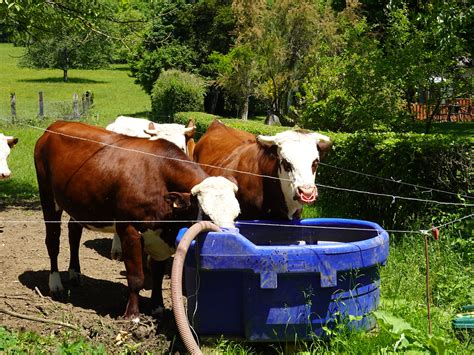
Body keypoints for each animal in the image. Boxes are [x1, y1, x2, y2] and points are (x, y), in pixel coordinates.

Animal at [34, 121, 241, 320]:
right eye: (206, 215)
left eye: (236, 214)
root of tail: (54, 126)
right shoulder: (129, 229)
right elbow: (136, 277)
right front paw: (132, 315)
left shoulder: (160, 237)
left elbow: (157, 274)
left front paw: (157, 306)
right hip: (47, 196)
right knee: (52, 240)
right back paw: (56, 284)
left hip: (78, 204)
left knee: (74, 232)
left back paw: (75, 273)